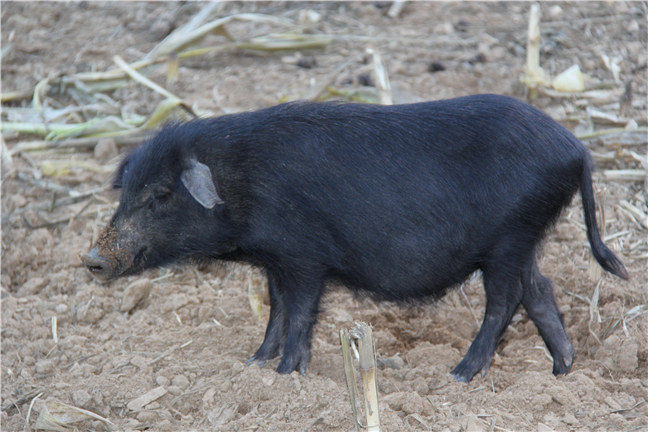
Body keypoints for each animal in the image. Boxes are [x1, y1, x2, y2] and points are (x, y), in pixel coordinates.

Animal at [82, 94, 628, 382]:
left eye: (159, 195)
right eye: (126, 190)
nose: (91, 259)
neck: (242, 183)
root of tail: (577, 149)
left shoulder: (304, 256)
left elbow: (301, 312)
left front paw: (286, 375)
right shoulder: (278, 261)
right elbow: (277, 308)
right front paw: (254, 364)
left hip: (510, 237)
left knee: (505, 300)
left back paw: (458, 375)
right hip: (524, 239)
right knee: (541, 289)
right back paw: (562, 371)